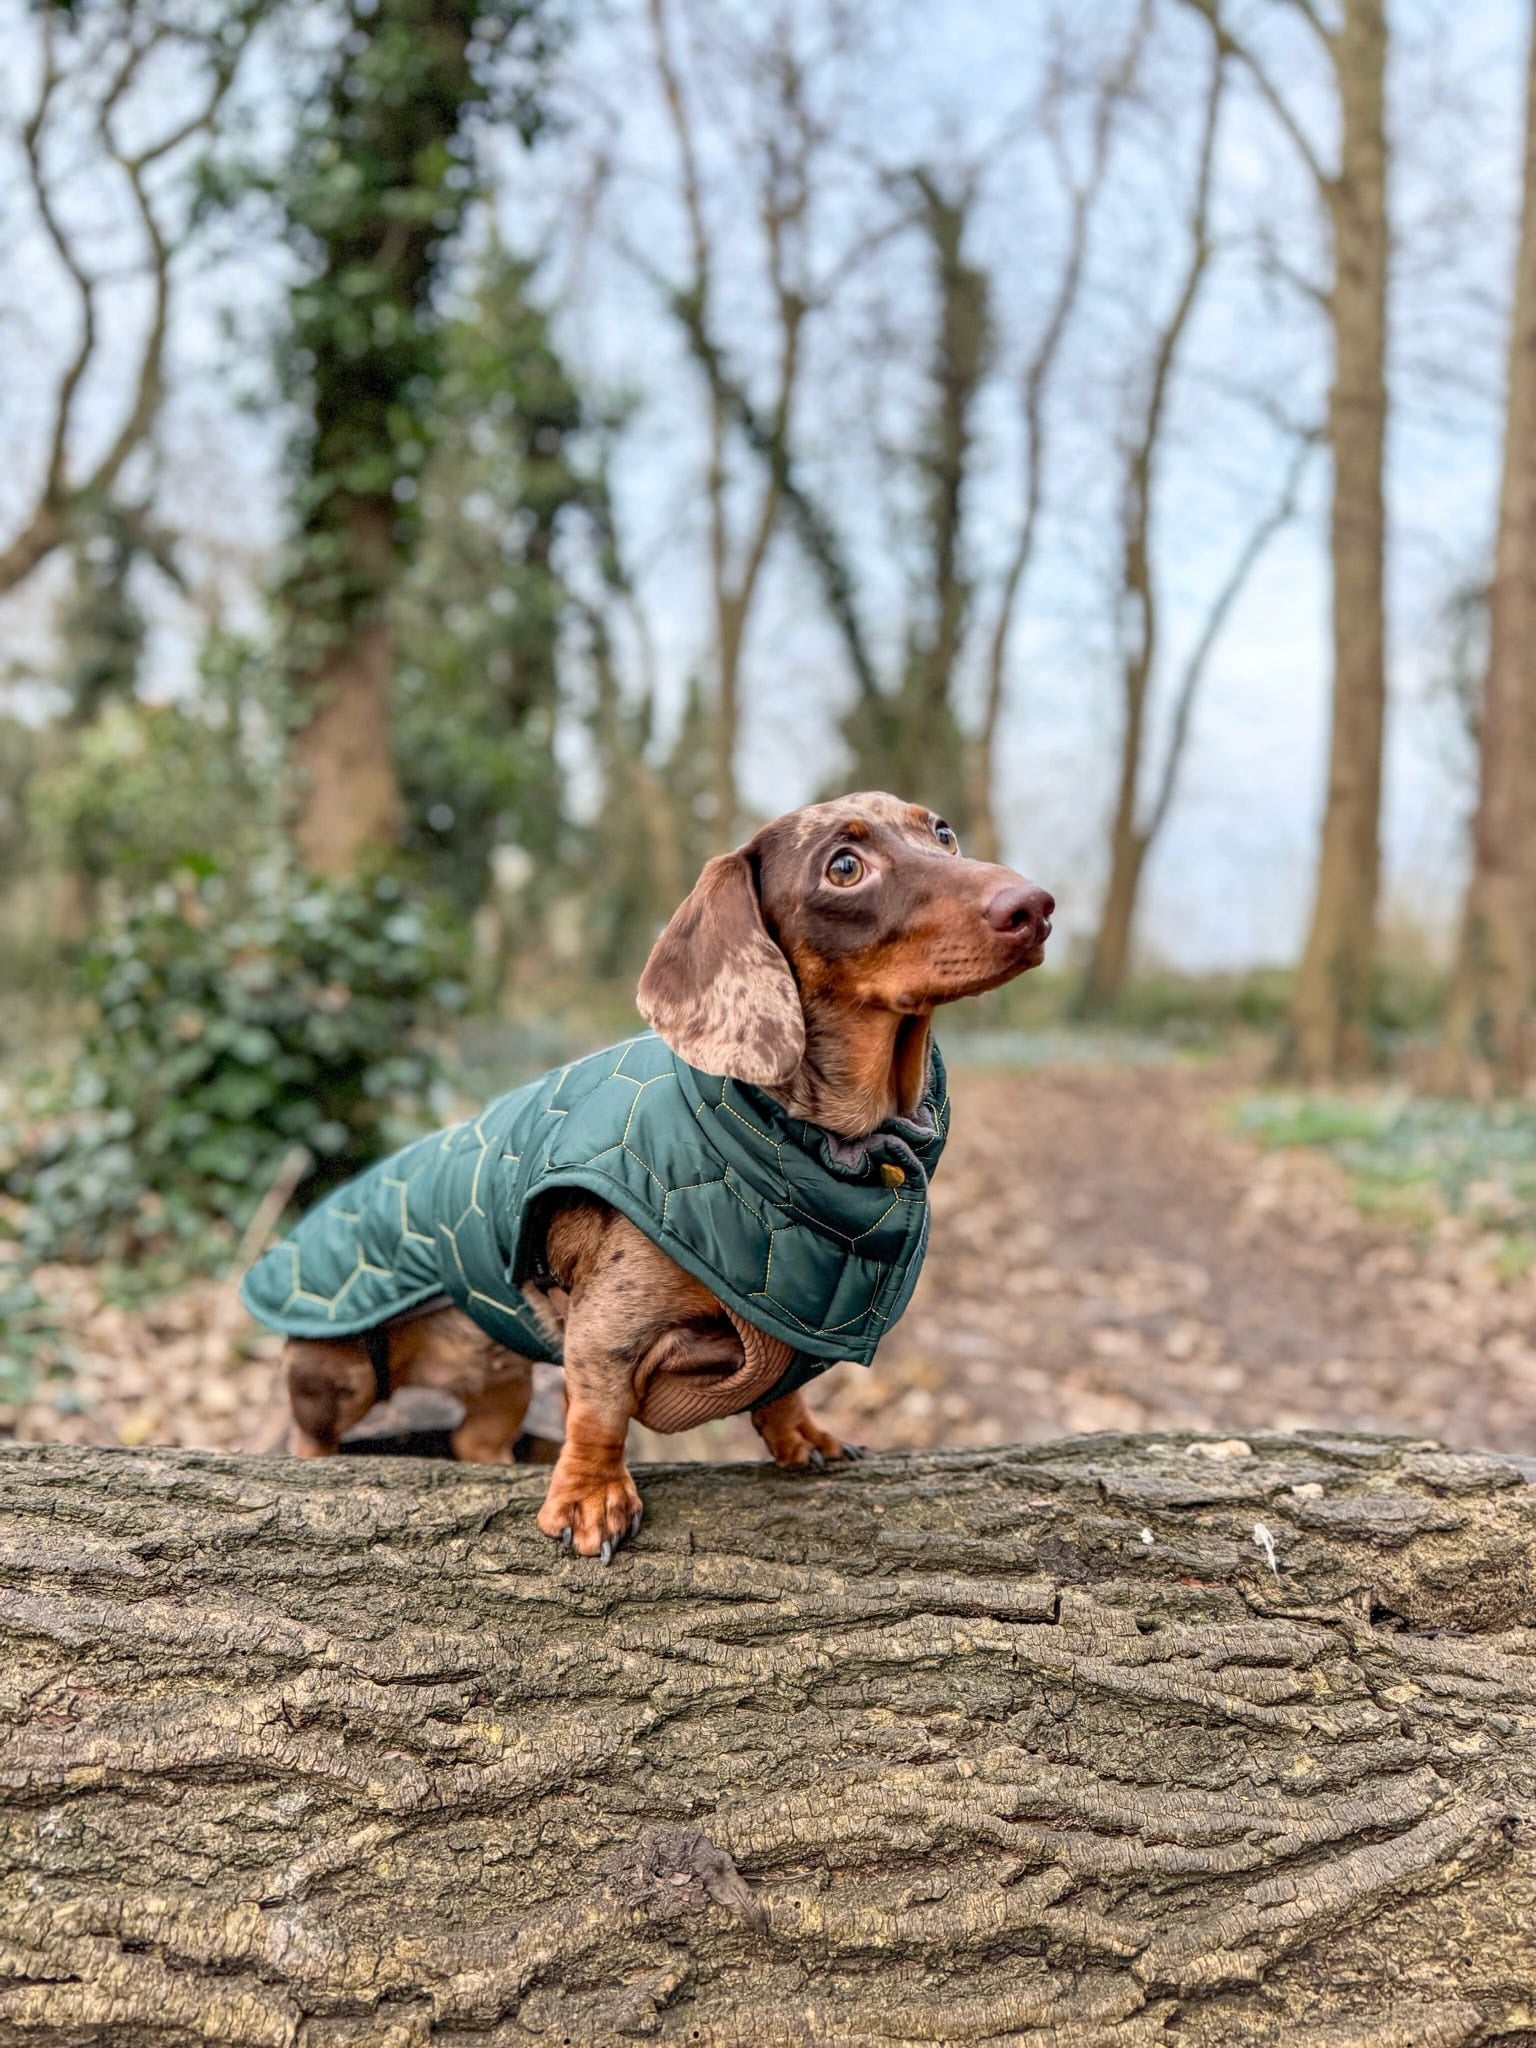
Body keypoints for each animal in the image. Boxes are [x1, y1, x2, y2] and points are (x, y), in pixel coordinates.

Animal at [243, 790, 1056, 1556]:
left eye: (943, 832)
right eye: (845, 867)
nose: (1035, 906)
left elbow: (778, 1393)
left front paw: (802, 1435)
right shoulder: (604, 1330)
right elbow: (600, 1413)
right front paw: (590, 1498)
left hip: (502, 1377)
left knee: (477, 1440)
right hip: (339, 1374)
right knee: (310, 1440)